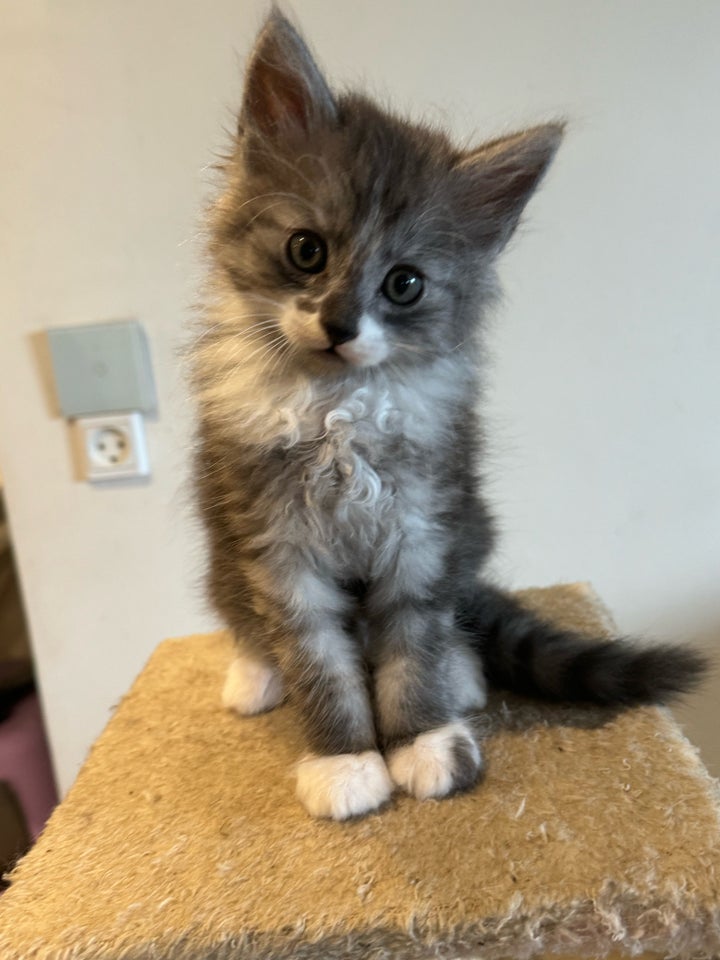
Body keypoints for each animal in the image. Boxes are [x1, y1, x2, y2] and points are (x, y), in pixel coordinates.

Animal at [190, 9, 704, 816]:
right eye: (306, 251)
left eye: (404, 284)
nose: (339, 325)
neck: (339, 414)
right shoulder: (278, 547)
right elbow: (317, 659)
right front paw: (344, 760)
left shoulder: (425, 530)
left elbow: (413, 646)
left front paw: (422, 739)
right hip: (221, 551)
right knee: (244, 621)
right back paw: (254, 676)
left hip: (471, 533)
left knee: (453, 621)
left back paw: (461, 673)